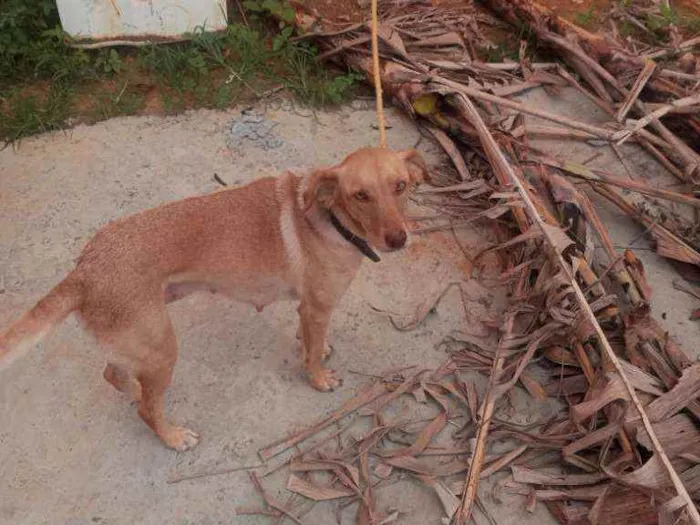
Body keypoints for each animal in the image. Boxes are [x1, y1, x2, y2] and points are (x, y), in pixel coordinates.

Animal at [0, 147, 426, 450]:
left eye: (401, 186)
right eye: (360, 195)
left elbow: (310, 341)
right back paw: (172, 436)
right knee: (147, 409)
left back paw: (137, 392)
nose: (399, 239)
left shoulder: (308, 310)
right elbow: (312, 356)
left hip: (138, 344)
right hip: (161, 347)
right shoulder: (318, 307)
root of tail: (85, 268)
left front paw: (316, 349)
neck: (330, 218)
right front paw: (319, 377)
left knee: (117, 377)